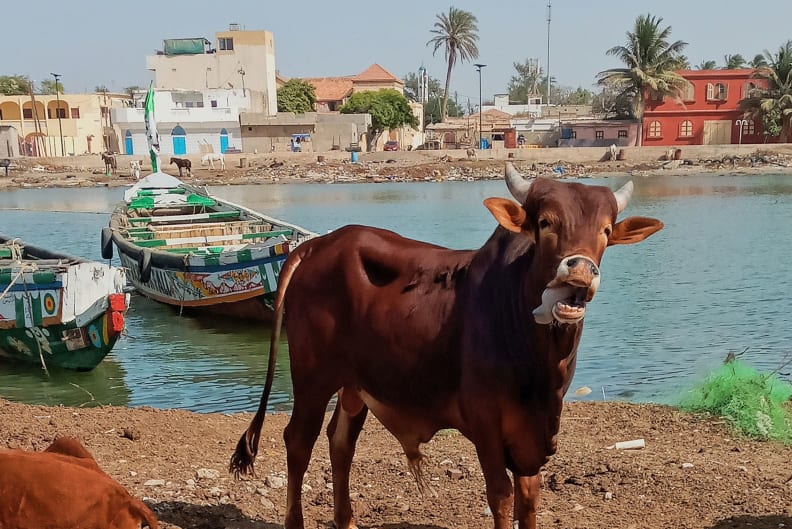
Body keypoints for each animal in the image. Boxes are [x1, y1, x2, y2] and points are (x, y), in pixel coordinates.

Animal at [230, 162, 664, 528]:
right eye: (545, 223)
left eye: (606, 230)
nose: (580, 272)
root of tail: (317, 245)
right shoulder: (486, 423)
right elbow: (501, 496)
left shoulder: (532, 435)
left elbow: (529, 498)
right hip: (312, 376)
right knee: (298, 442)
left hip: (355, 383)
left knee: (341, 444)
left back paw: (347, 520)